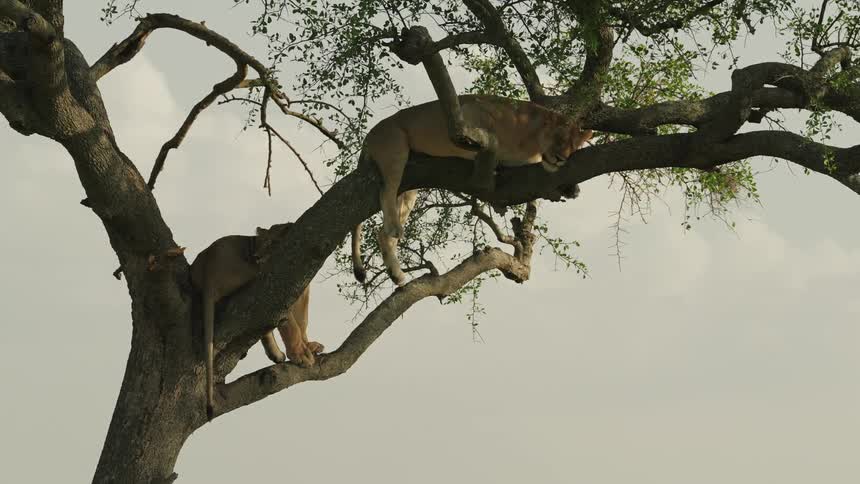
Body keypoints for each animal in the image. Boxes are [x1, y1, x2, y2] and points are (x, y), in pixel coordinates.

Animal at [190, 222, 323, 419]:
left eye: (273, 243)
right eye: (261, 243)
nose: (256, 256)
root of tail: (208, 268)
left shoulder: (302, 290)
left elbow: (303, 321)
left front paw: (310, 346)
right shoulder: (284, 289)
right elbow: (293, 326)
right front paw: (301, 355)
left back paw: (276, 354)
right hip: (259, 280)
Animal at [351, 94, 593, 285]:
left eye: (575, 146)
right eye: (559, 138)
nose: (561, 159)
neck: (532, 139)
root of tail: (370, 134)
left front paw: (571, 187)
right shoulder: (469, 115)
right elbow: (488, 138)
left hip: (410, 190)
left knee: (381, 232)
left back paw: (397, 275)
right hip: (395, 148)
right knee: (386, 191)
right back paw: (394, 229)